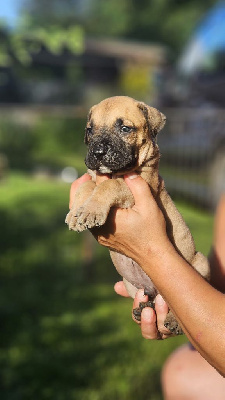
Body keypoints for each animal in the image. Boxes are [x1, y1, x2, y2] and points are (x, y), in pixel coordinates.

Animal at [66, 97, 210, 334]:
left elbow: (110, 186)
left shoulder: (138, 187)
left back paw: (173, 321)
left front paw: (90, 210)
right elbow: (86, 186)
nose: (98, 152)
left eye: (125, 128)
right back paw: (144, 308)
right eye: (89, 130)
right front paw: (76, 212)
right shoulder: (93, 178)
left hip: (201, 263)